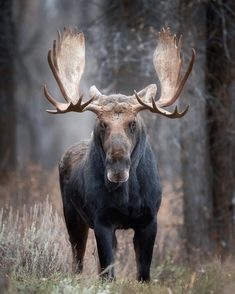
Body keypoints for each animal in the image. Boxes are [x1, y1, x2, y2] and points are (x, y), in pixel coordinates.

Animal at [43, 28, 195, 282]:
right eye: (102, 124)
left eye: (132, 123)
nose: (117, 166)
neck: (128, 196)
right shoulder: (102, 220)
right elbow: (109, 274)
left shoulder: (149, 220)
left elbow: (143, 273)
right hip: (72, 216)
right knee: (78, 260)